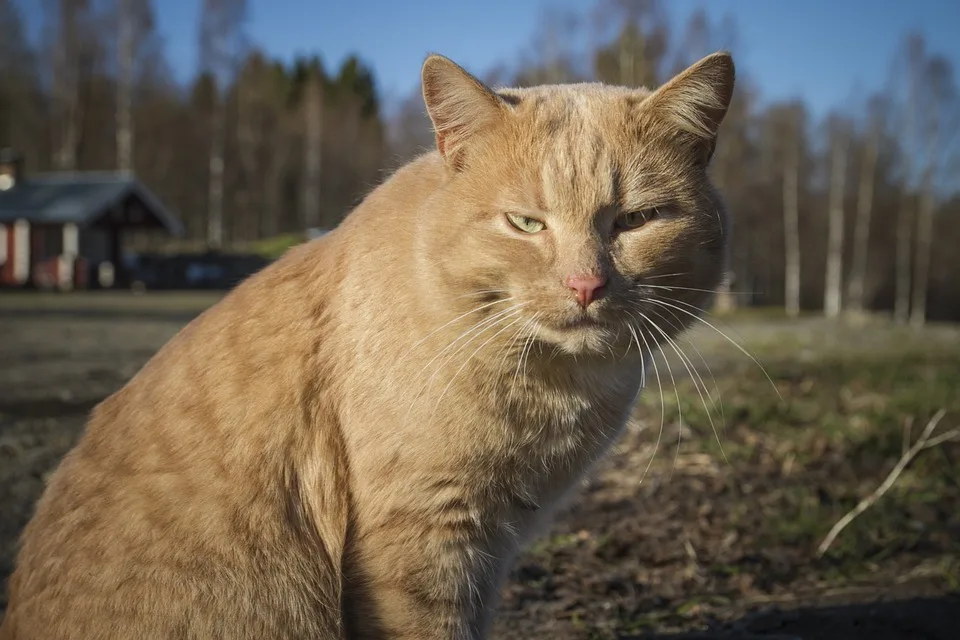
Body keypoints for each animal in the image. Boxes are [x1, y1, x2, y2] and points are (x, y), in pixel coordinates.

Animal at [0, 51, 736, 640]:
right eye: (526, 223)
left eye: (637, 220)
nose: (586, 284)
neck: (550, 381)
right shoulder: (420, 539)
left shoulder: (489, 551)